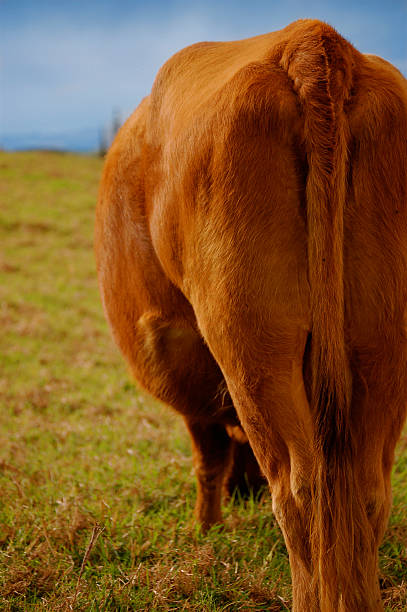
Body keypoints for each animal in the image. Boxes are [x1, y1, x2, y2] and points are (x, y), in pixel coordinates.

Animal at [95, 19, 407, 612]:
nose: (246, 495)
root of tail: (309, 39)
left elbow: (208, 454)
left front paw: (206, 529)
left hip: (254, 351)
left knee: (300, 494)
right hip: (380, 347)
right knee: (365, 493)